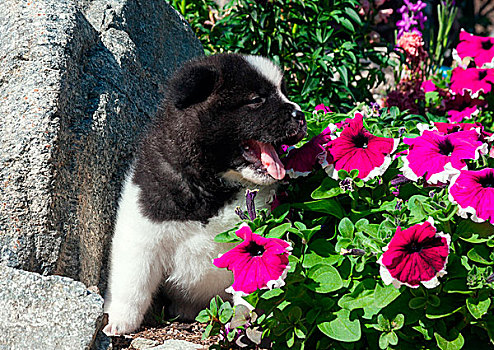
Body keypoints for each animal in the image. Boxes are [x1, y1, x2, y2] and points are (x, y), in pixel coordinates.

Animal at [103, 53, 306, 334]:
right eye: (256, 100)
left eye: (284, 92)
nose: (301, 115)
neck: (213, 186)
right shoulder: (144, 224)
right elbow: (132, 281)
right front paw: (118, 319)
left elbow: (251, 288)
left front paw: (244, 321)